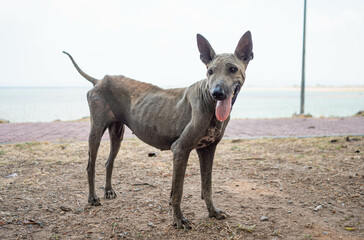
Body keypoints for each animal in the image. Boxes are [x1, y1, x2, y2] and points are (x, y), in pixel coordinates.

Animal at [63, 31, 253, 229]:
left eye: (232, 69)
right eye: (210, 72)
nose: (217, 92)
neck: (208, 101)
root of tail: (99, 80)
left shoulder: (208, 149)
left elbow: (206, 186)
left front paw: (213, 212)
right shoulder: (181, 149)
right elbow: (178, 191)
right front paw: (179, 220)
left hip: (117, 134)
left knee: (109, 162)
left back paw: (108, 191)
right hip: (96, 131)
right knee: (90, 165)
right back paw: (92, 197)